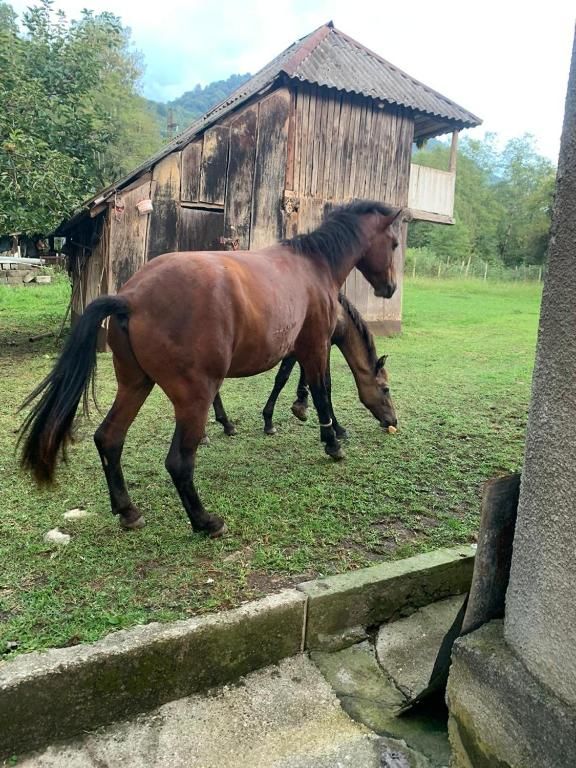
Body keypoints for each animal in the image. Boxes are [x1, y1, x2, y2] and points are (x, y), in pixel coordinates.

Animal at [209, 292, 398, 438]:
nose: (393, 421)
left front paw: (300, 405)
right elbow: (299, 381)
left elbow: (304, 376)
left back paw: (225, 425)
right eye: (386, 389)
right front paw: (337, 428)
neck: (338, 315)